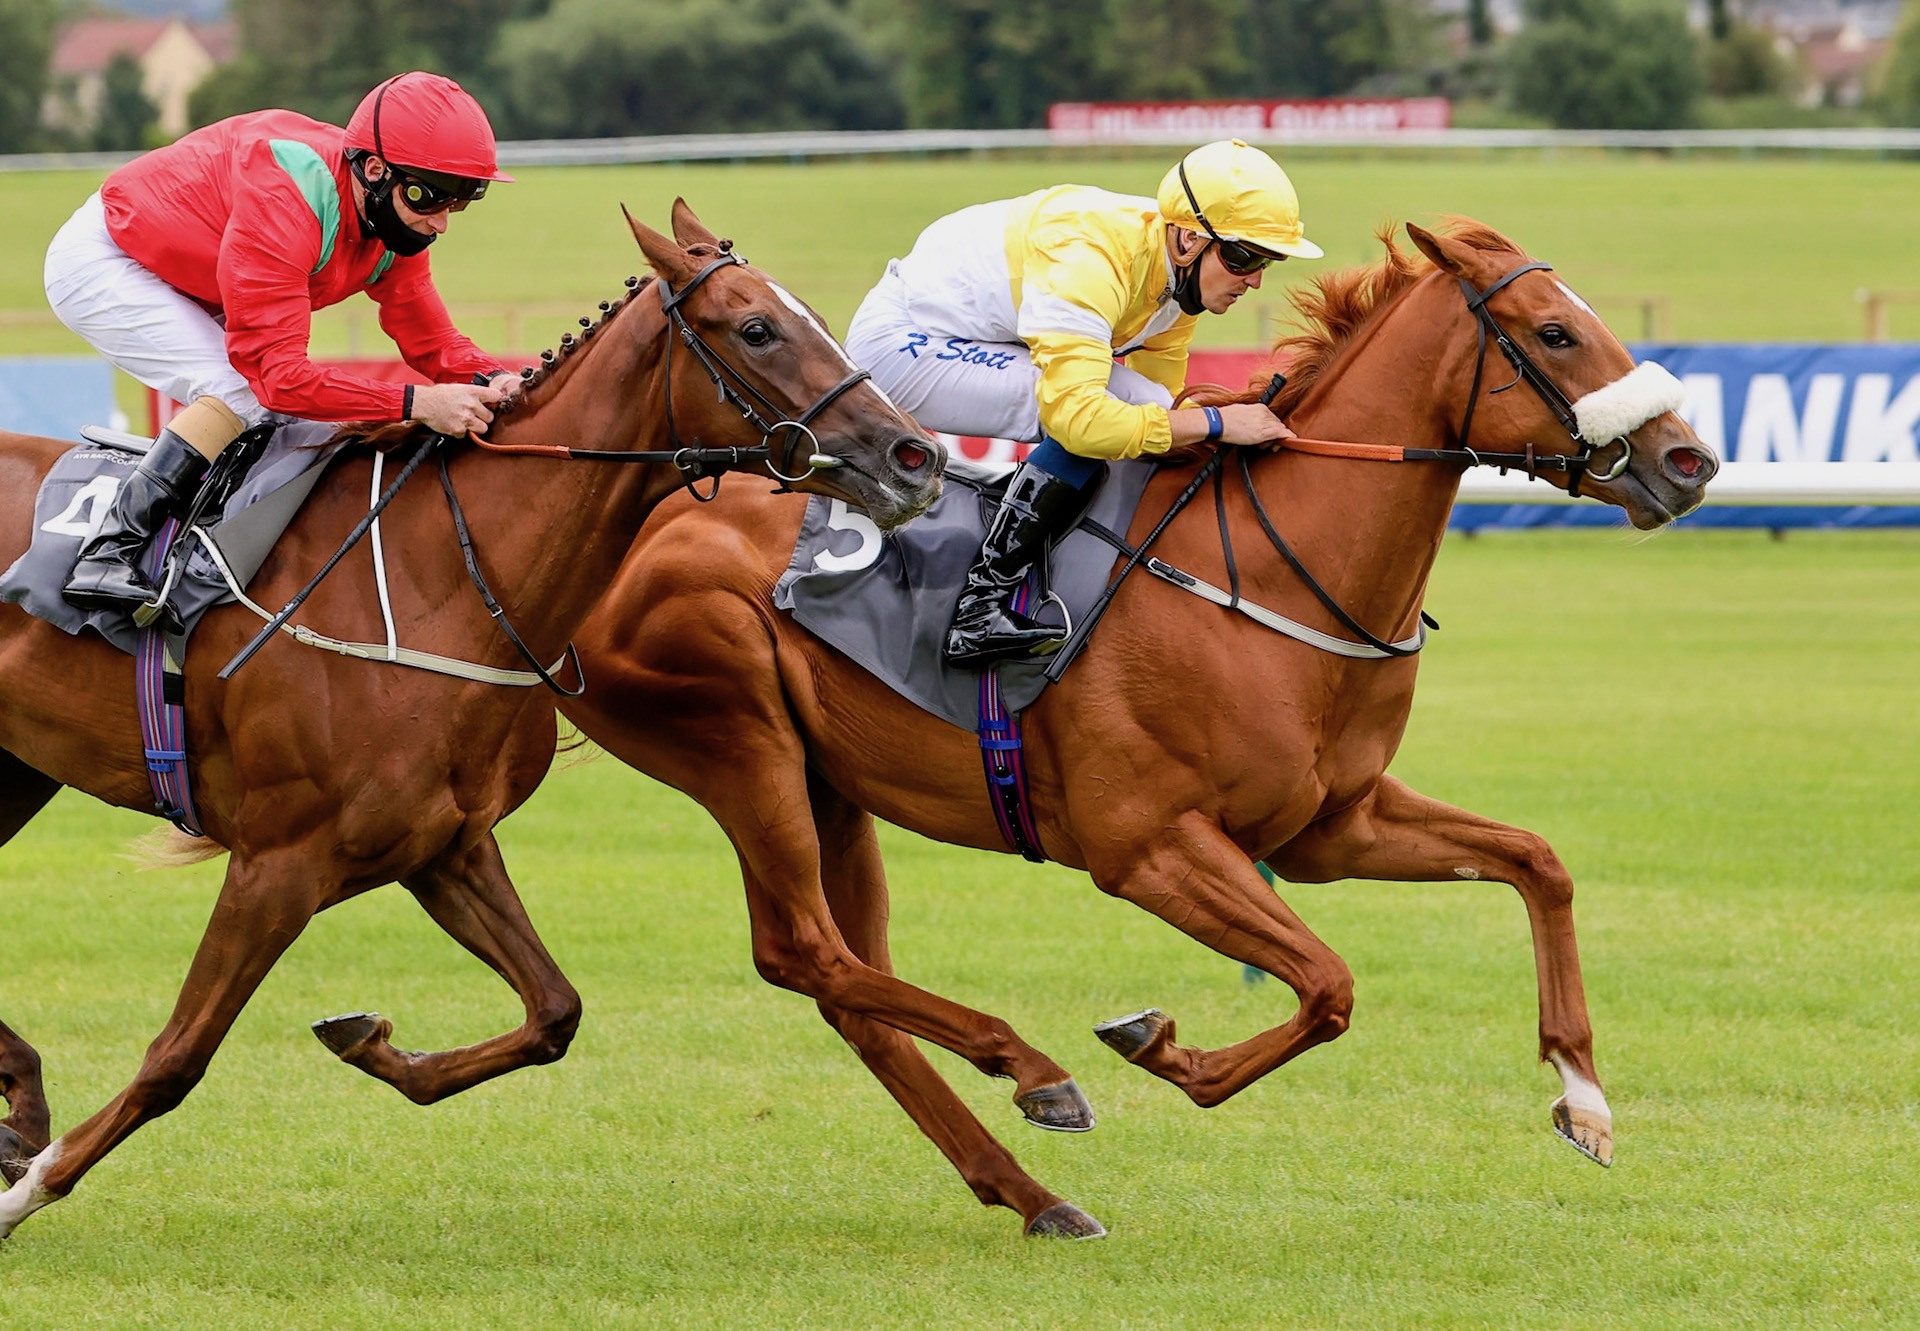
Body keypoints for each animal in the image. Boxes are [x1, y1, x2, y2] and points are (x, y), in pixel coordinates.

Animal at [0, 202, 944, 1244]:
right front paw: (29, 1186)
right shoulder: (276, 863)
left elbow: (554, 1011)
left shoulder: (442, 846)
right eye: (757, 329)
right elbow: (176, 1055)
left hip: (14, 769)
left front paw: (372, 1042)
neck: (442, 576)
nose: (917, 457)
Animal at [560, 220, 1720, 1236]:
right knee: (802, 950)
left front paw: (1584, 1096)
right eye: (1555, 331)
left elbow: (1536, 862)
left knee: (848, 985)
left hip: (829, 783)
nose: (1690, 460)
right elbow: (1328, 984)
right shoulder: (1149, 845)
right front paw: (1158, 1044)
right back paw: (1037, 1079)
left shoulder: (1331, 826)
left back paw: (1033, 1191)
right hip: (739, 741)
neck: (1267, 569)